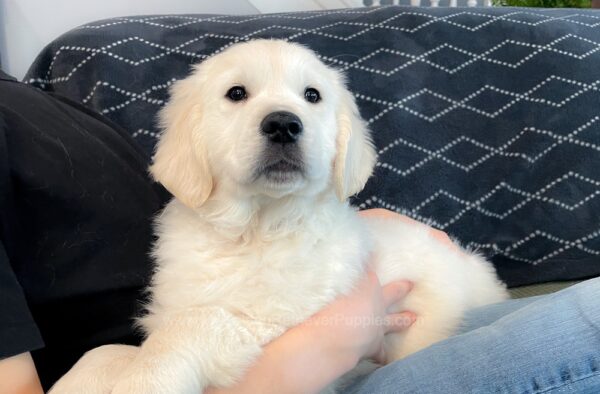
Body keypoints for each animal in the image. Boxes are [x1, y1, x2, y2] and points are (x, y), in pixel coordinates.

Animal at [51, 40, 508, 394]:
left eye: (312, 96)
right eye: (236, 93)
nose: (284, 125)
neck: (253, 231)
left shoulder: (277, 321)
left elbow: (191, 325)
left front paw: (144, 380)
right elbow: (103, 353)